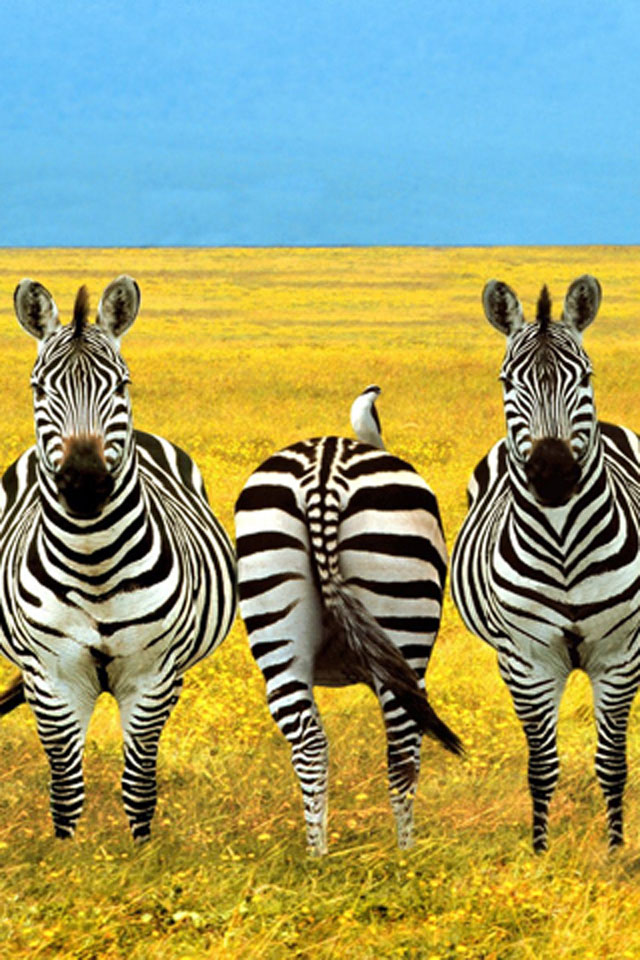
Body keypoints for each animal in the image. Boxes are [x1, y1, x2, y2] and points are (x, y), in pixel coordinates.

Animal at [0, 277, 236, 841]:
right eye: (38, 390)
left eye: (122, 385)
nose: (85, 484)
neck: (94, 564)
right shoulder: (52, 677)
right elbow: (65, 789)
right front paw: (67, 854)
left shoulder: (153, 676)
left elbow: (138, 783)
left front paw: (141, 852)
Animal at [234, 394, 462, 855]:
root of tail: (324, 470)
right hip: (404, 622)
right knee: (403, 746)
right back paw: (405, 855)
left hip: (272, 605)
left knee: (309, 743)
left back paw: (318, 856)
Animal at [451, 275, 640, 852]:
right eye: (507, 381)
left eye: (586, 376)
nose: (553, 473)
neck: (562, 546)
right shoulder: (528, 661)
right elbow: (542, 766)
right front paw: (539, 850)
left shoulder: (619, 656)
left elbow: (612, 763)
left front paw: (615, 849)